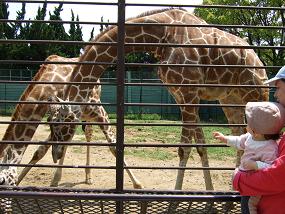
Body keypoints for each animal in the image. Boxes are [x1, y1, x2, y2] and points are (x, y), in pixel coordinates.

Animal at [0, 54, 142, 188]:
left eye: (2, 181)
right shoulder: (57, 121)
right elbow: (41, 151)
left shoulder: (98, 110)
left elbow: (114, 146)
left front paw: (137, 184)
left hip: (88, 116)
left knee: (88, 134)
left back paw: (88, 177)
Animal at [46, 7, 268, 191]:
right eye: (49, 123)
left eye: (60, 124)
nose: (55, 155)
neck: (162, 35)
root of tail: (259, 63)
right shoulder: (182, 96)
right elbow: (200, 147)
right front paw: (210, 191)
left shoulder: (189, 92)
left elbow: (184, 150)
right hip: (230, 100)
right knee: (239, 134)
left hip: (254, 95)